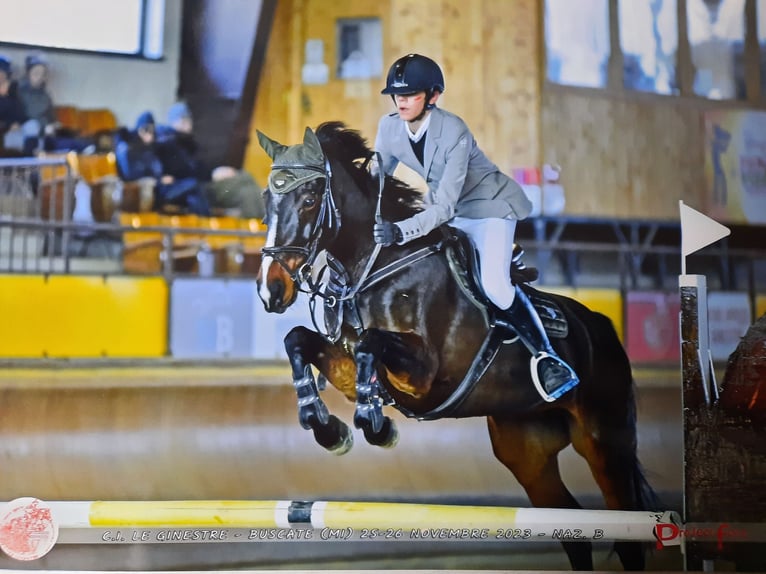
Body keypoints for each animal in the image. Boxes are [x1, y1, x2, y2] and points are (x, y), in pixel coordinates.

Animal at [256, 122, 660, 572]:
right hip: (526, 449)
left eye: (310, 200)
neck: (375, 264)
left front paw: (374, 424)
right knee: (572, 529)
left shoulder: (424, 374)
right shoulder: (345, 360)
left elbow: (370, 346)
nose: (271, 290)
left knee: (627, 530)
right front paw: (328, 428)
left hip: (605, 440)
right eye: (267, 200)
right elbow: (299, 341)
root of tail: (602, 326)